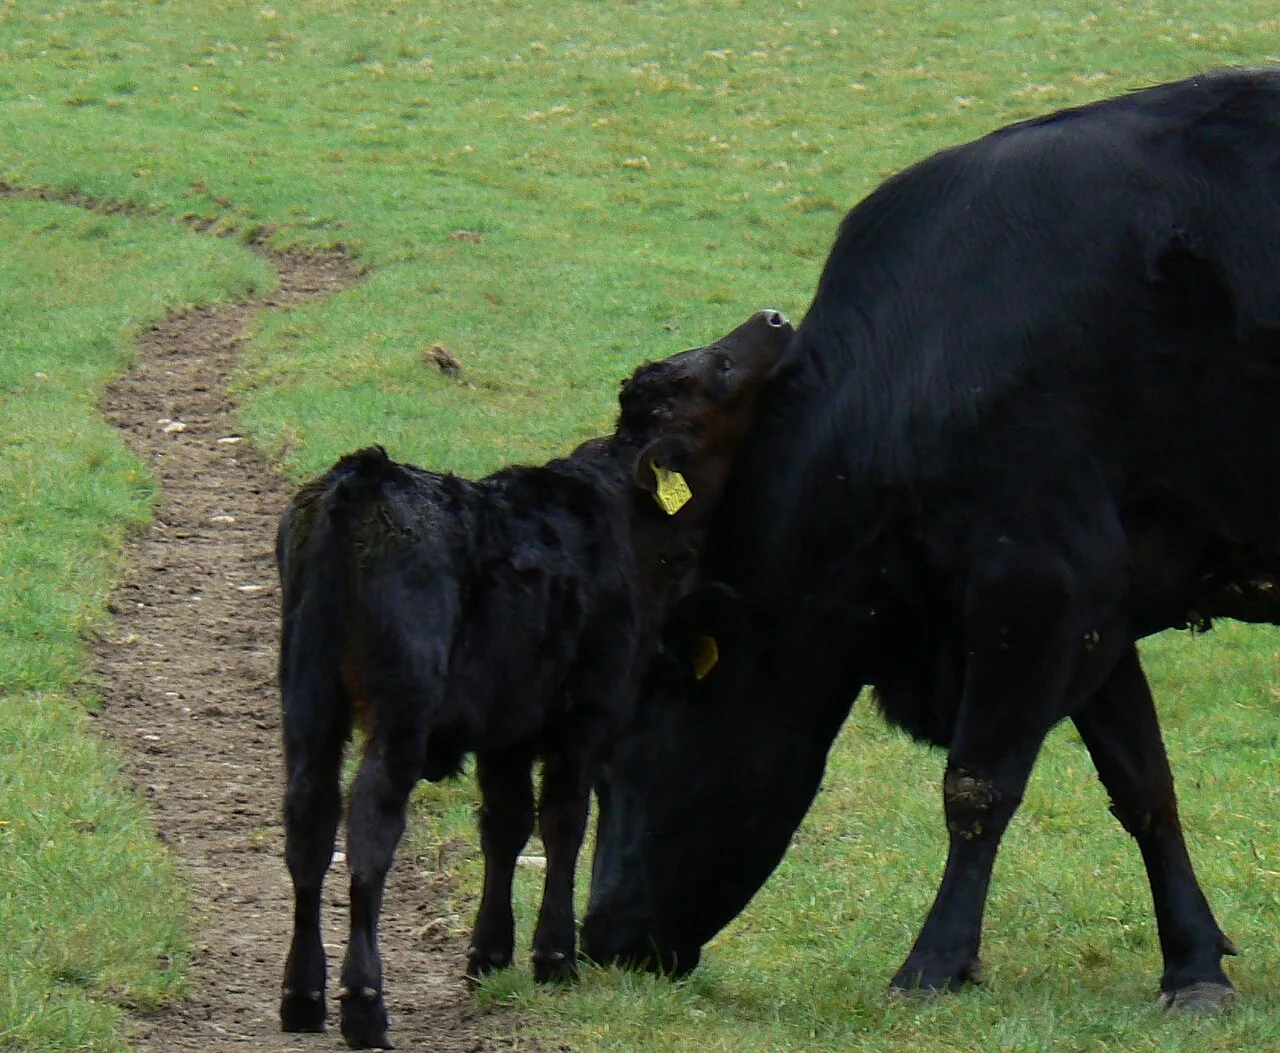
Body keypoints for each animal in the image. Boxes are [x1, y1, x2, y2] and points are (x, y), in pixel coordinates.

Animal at [276, 309, 792, 1048]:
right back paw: (364, 1003)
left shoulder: (507, 723)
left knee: (308, 821)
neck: (633, 521)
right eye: (718, 368)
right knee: (369, 827)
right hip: (401, 706)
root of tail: (362, 474)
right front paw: (554, 956)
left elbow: (505, 823)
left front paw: (489, 955)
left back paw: (302, 995)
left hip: (307, 693)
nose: (774, 317)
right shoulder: (588, 711)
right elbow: (563, 822)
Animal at [581, 66, 1280, 1013]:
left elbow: (975, 785)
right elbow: (1144, 784)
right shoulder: (1102, 603)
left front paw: (933, 962)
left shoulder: (1036, 581)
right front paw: (1195, 964)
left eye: (617, 754)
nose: (599, 936)